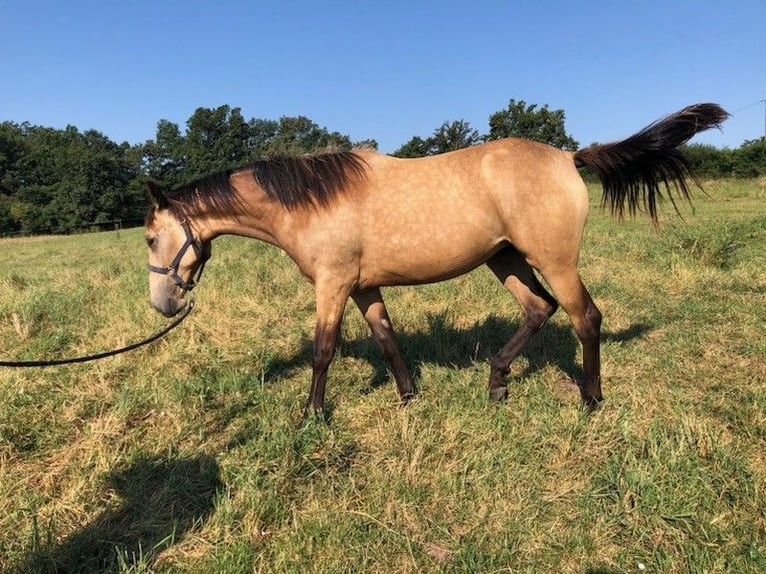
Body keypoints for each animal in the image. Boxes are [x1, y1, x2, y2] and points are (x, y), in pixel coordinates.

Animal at [146, 104, 732, 418]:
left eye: (151, 238)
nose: (162, 305)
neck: (311, 202)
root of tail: (569, 157)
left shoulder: (332, 285)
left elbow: (322, 351)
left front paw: (311, 415)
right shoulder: (362, 286)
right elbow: (386, 339)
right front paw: (408, 397)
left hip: (554, 260)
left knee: (584, 316)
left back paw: (589, 399)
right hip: (505, 259)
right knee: (538, 309)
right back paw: (496, 382)